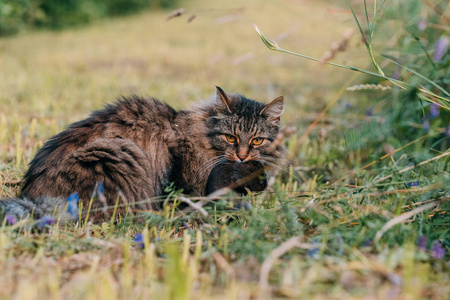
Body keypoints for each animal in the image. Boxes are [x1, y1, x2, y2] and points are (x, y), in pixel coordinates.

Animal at [0, 86, 284, 223]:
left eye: (257, 140)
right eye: (230, 138)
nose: (243, 156)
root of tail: (35, 196)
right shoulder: (181, 181)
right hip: (115, 153)